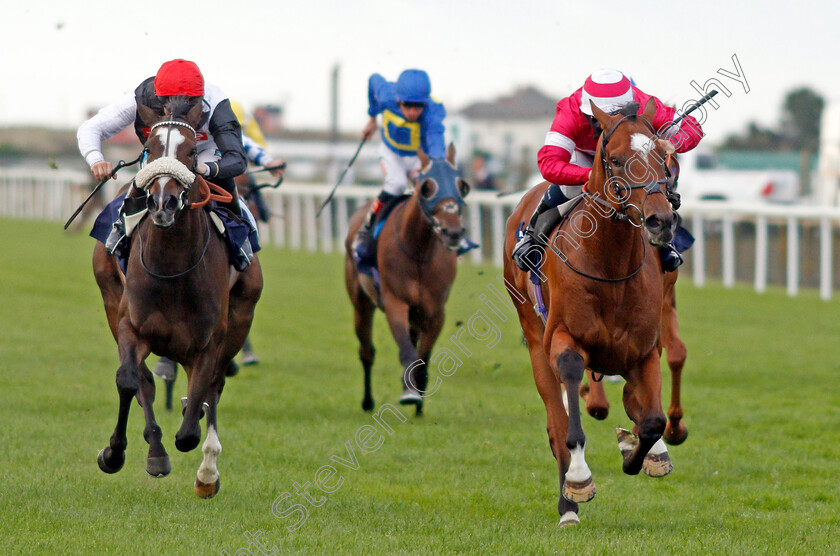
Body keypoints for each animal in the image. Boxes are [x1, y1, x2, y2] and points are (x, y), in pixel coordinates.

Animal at [91, 100, 262, 500]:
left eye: (190, 153)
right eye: (149, 149)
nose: (163, 203)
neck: (172, 268)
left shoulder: (210, 341)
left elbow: (191, 426)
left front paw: (205, 466)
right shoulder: (130, 325)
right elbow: (129, 380)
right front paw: (114, 453)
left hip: (241, 315)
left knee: (212, 389)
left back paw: (207, 471)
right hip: (110, 296)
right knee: (145, 383)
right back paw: (156, 450)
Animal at [342, 146, 472, 414]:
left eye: (462, 185)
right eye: (426, 187)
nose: (453, 233)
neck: (418, 251)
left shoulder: (435, 312)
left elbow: (422, 359)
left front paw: (418, 401)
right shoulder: (395, 302)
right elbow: (406, 351)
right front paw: (410, 394)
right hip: (361, 301)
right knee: (366, 351)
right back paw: (368, 401)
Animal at [506, 99, 684, 524]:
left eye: (661, 156)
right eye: (616, 160)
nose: (660, 220)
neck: (611, 266)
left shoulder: (644, 348)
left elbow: (651, 421)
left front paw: (640, 452)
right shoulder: (563, 339)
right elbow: (570, 421)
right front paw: (579, 480)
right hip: (534, 339)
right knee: (556, 423)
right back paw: (567, 505)